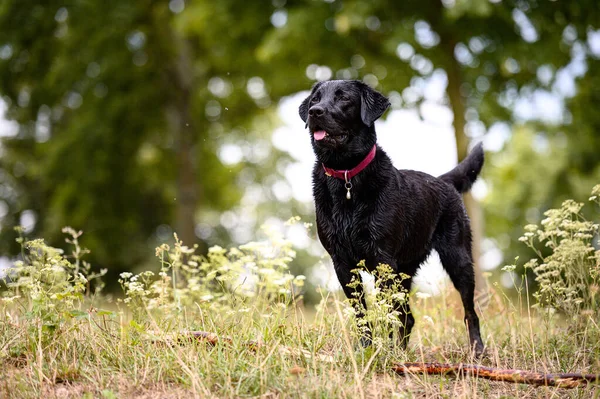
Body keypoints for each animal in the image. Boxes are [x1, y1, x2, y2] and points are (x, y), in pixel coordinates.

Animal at [298, 79, 486, 354]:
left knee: (469, 311)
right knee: (408, 317)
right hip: (405, 272)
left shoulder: (382, 259)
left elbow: (386, 311)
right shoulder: (341, 262)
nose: (315, 112)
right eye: (315, 99)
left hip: (458, 259)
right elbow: (362, 313)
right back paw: (401, 351)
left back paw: (477, 349)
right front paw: (367, 349)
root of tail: (442, 180)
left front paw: (382, 351)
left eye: (344, 98)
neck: (347, 177)